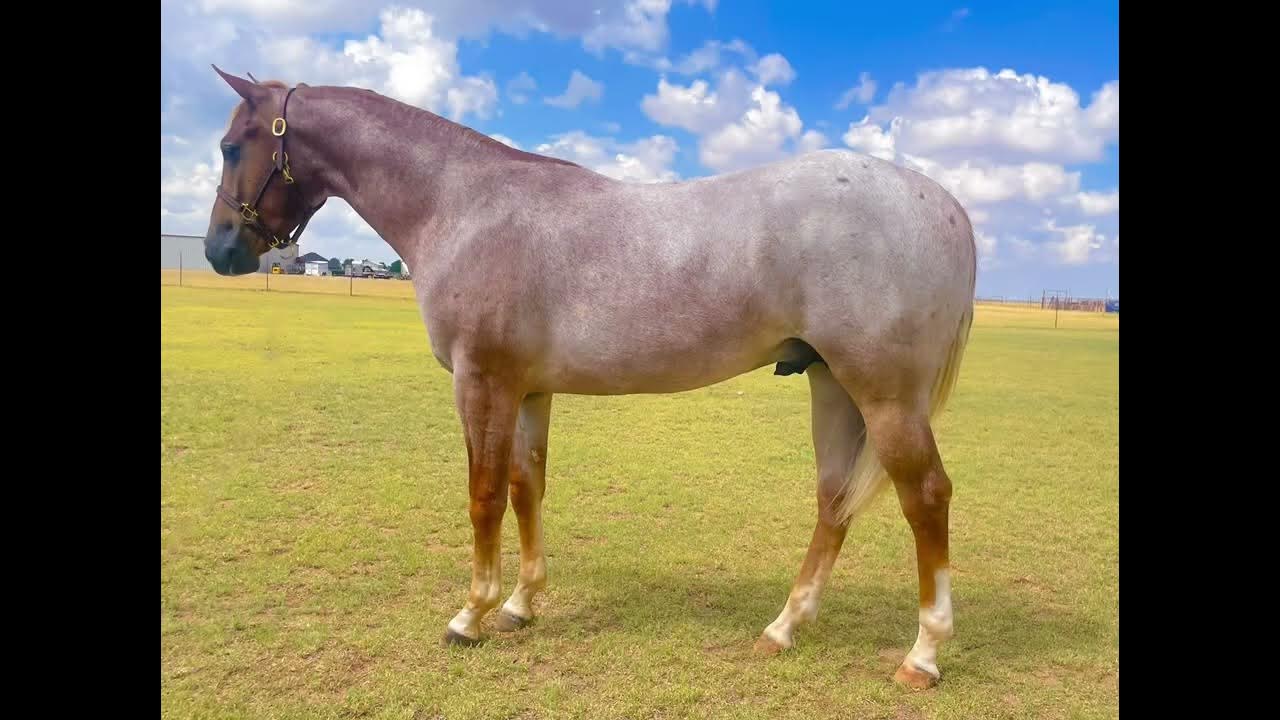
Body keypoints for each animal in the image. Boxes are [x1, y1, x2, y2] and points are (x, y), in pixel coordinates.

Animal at [201, 67, 976, 690]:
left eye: (234, 145)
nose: (219, 250)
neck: (464, 205)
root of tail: (941, 203)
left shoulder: (481, 383)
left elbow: (484, 496)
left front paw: (470, 615)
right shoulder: (528, 390)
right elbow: (526, 488)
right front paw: (519, 605)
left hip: (883, 396)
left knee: (925, 498)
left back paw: (923, 655)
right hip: (831, 386)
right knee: (834, 499)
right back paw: (783, 628)